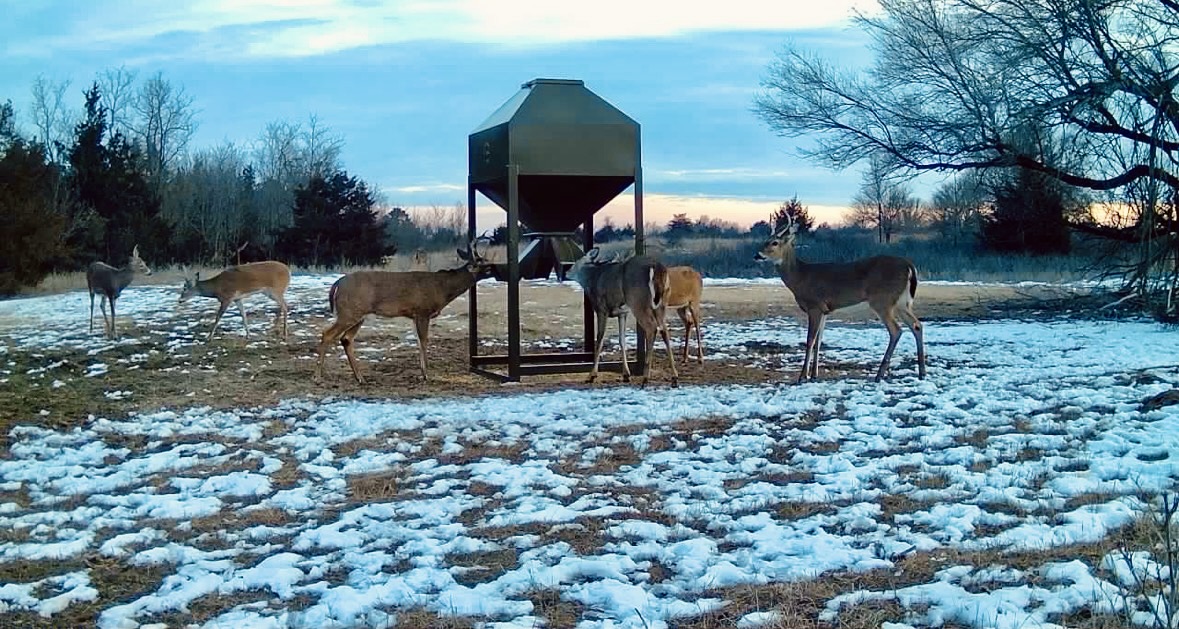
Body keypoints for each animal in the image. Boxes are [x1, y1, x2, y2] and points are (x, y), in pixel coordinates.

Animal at [316, 239, 492, 383]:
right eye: (484, 264)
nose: (494, 267)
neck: (441, 288)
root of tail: (338, 283)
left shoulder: (414, 315)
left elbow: (418, 341)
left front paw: (422, 372)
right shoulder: (422, 311)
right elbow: (424, 341)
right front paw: (426, 374)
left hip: (358, 315)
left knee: (346, 339)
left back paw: (360, 378)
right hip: (349, 311)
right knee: (327, 334)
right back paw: (318, 376)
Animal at [570, 248, 680, 387]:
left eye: (576, 262)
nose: (567, 271)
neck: (592, 279)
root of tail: (657, 267)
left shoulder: (602, 309)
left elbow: (599, 340)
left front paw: (591, 375)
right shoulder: (623, 313)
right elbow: (622, 340)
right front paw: (626, 374)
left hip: (638, 301)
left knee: (652, 327)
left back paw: (645, 378)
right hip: (662, 303)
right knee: (664, 330)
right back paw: (674, 377)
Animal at [754, 215, 926, 383]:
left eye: (774, 242)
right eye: (765, 240)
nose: (757, 255)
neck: (801, 277)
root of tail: (910, 267)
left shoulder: (815, 306)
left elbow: (810, 340)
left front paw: (803, 376)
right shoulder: (825, 310)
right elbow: (819, 341)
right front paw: (814, 375)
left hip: (883, 301)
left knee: (896, 330)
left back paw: (879, 375)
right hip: (902, 302)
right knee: (917, 325)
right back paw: (921, 373)